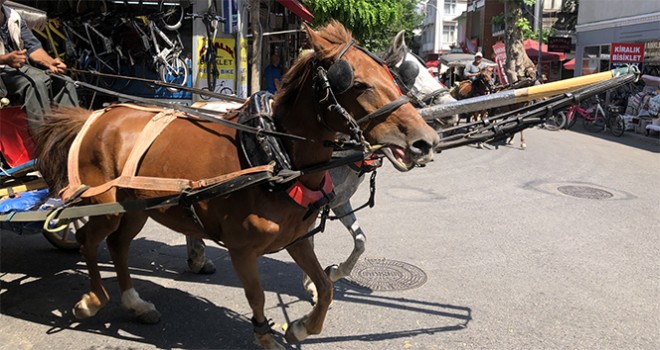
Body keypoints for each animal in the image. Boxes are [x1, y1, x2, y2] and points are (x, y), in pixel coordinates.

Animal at [186, 31, 454, 302]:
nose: (452, 110)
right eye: (408, 74)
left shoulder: (339, 200)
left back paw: (197, 257)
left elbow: (360, 241)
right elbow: (311, 240)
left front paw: (334, 271)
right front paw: (312, 283)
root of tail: (200, 104)